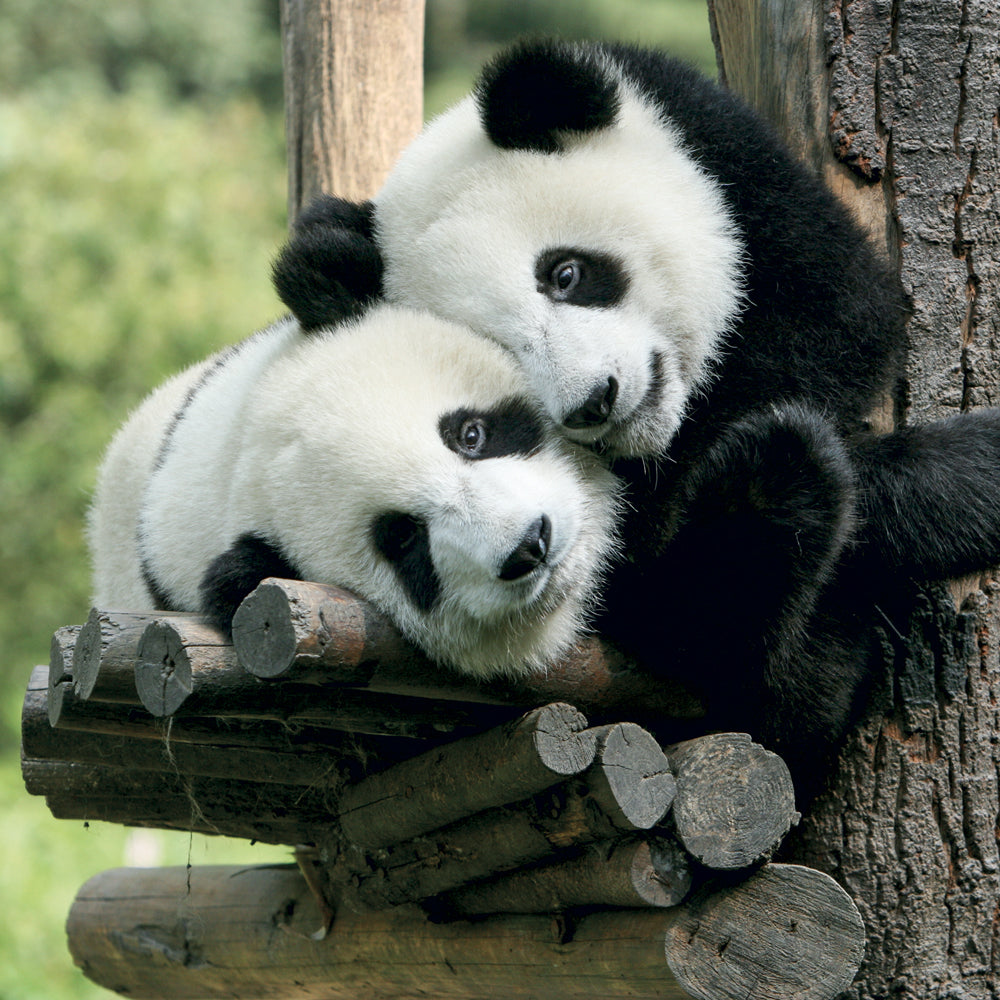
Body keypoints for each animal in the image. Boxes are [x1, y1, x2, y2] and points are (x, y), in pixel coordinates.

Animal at [273, 38, 1000, 797]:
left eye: (565, 273)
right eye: (502, 349)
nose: (594, 401)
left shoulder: (731, 169)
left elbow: (842, 321)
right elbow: (662, 573)